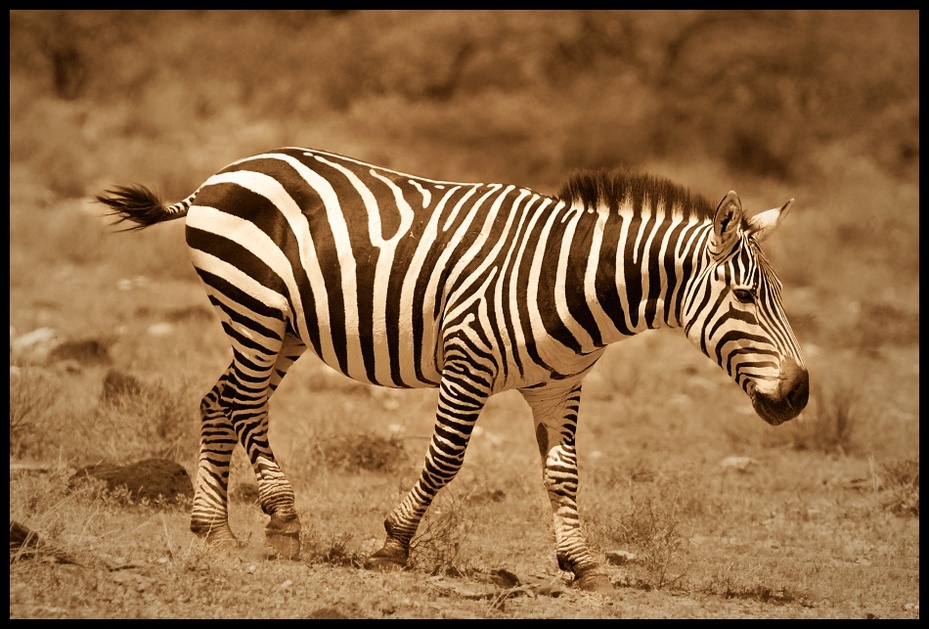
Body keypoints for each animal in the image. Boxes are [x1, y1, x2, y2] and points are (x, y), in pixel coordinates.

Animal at [94, 148, 804, 592]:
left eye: (776, 294)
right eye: (746, 297)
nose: (798, 396)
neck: (577, 281)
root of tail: (221, 175)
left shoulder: (560, 385)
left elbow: (563, 473)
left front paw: (582, 563)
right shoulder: (468, 363)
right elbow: (445, 460)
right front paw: (393, 543)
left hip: (281, 328)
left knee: (219, 400)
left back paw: (212, 529)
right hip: (254, 308)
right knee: (243, 405)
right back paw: (282, 518)